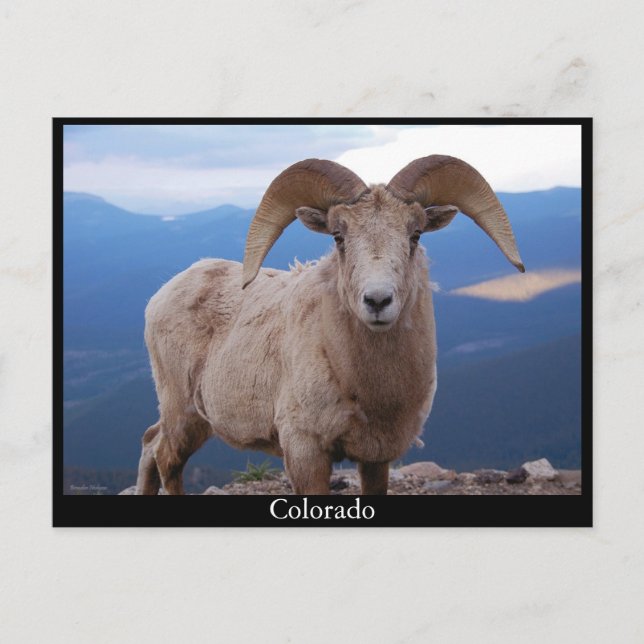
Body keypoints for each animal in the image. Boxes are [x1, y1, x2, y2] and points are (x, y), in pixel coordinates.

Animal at [135, 155, 524, 495]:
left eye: (415, 235)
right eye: (338, 236)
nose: (378, 301)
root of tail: (163, 293)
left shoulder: (375, 457)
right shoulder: (305, 451)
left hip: (196, 419)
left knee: (150, 443)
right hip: (181, 411)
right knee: (166, 458)